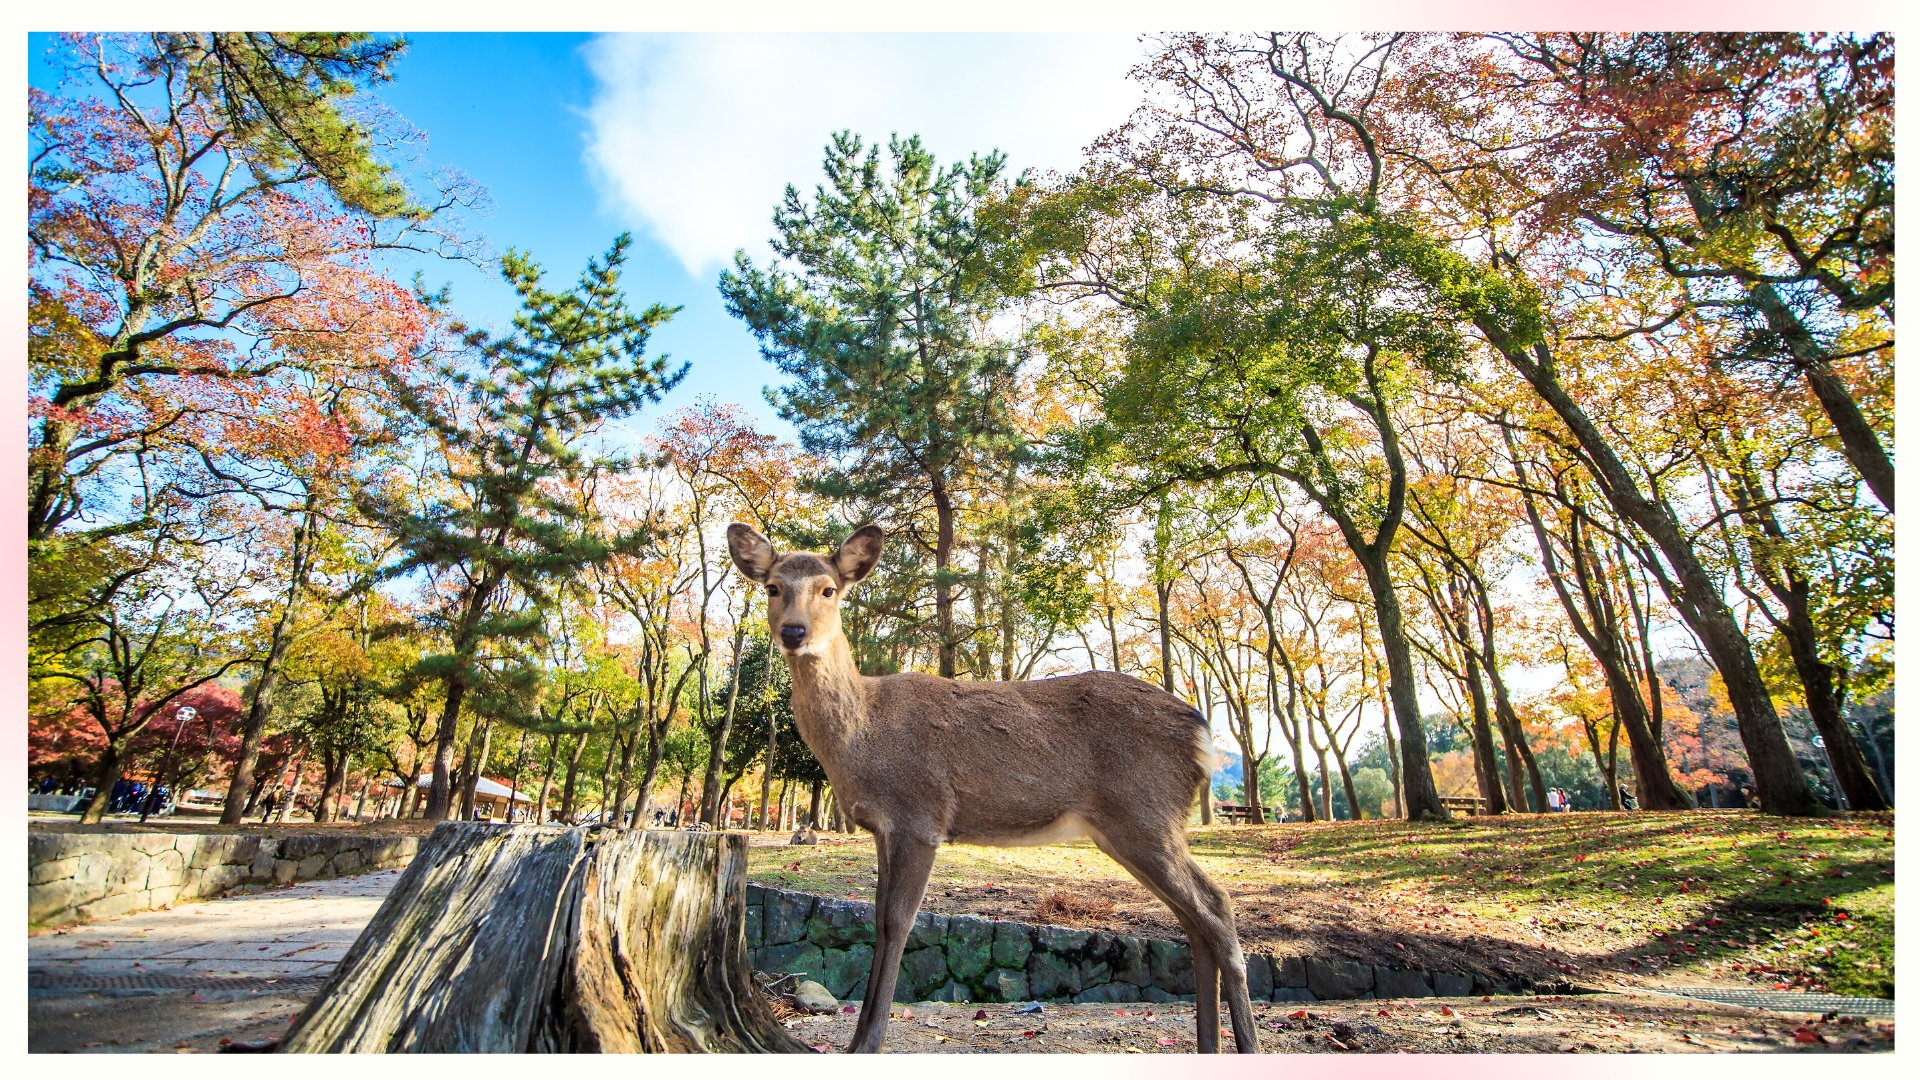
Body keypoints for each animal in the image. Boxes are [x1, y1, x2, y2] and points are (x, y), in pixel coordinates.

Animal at [721, 522, 1259, 1053]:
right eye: (772, 587)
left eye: (829, 589)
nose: (793, 631)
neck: (862, 736)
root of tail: (1202, 735)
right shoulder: (883, 827)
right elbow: (877, 918)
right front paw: (855, 1044)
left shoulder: (919, 817)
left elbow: (897, 922)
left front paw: (869, 1043)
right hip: (1130, 828)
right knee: (1194, 920)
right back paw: (1209, 1047)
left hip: (1145, 814)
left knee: (1216, 906)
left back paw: (1247, 1044)